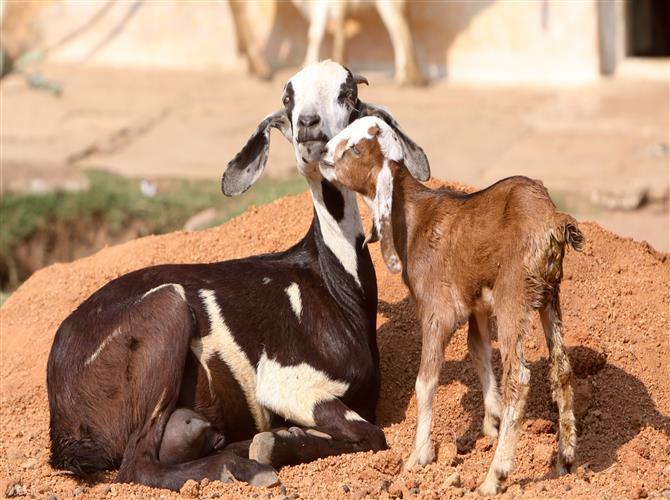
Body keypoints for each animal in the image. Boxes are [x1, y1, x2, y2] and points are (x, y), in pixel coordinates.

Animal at [48, 60, 430, 490]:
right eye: (288, 97)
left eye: (348, 93)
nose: (308, 124)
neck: (333, 286)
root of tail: (64, 421)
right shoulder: (286, 382)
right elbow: (372, 434)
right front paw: (274, 443)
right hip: (167, 308)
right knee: (136, 465)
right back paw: (242, 467)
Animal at [322, 117, 584, 496]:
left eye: (355, 148)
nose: (321, 153)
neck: (413, 218)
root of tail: (553, 221)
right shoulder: (477, 307)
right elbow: (478, 352)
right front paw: (491, 420)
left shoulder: (436, 311)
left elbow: (425, 381)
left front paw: (418, 457)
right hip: (549, 296)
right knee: (561, 368)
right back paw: (566, 458)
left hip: (514, 296)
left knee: (519, 377)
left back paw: (493, 478)